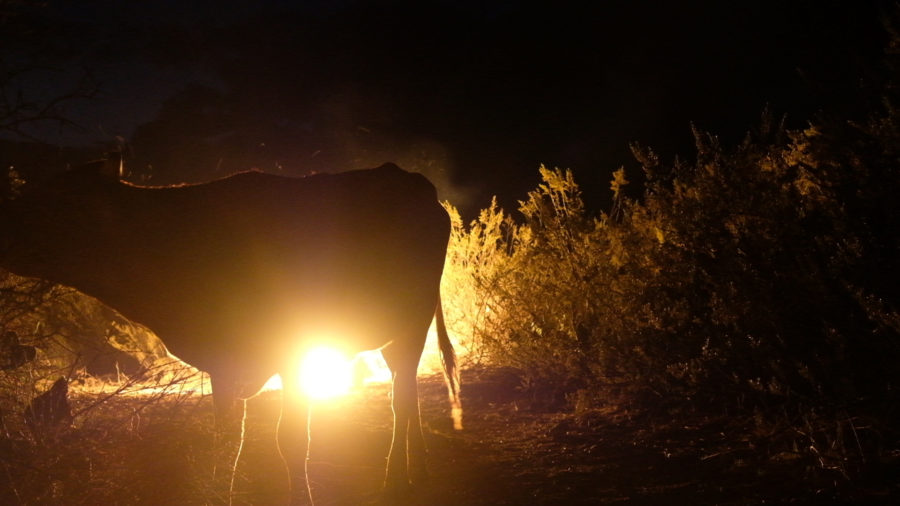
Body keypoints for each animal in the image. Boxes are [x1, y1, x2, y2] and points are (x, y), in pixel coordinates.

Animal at [0, 160, 464, 504]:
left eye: (50, 200)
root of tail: (412, 181)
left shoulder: (293, 353)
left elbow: (291, 441)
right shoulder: (223, 365)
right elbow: (225, 443)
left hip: (412, 323)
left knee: (401, 397)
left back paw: (396, 480)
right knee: (407, 391)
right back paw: (420, 469)